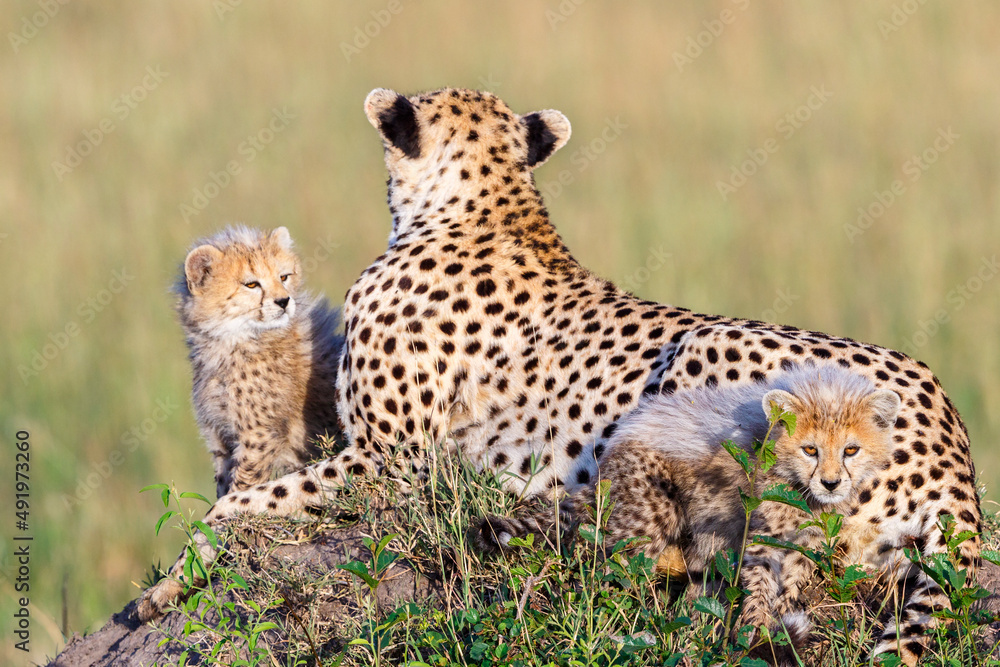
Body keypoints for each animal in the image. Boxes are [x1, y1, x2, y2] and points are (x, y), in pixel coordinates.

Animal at [176, 225, 343, 497]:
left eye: (283, 277)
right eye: (251, 284)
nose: (284, 301)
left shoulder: (259, 437)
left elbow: (242, 484)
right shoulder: (218, 436)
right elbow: (223, 481)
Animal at [478, 364, 900, 658]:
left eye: (851, 450)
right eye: (810, 449)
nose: (830, 483)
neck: (798, 487)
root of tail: (609, 457)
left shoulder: (800, 544)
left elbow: (790, 586)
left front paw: (778, 625)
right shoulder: (760, 538)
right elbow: (759, 587)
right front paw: (756, 634)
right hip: (650, 515)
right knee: (605, 568)